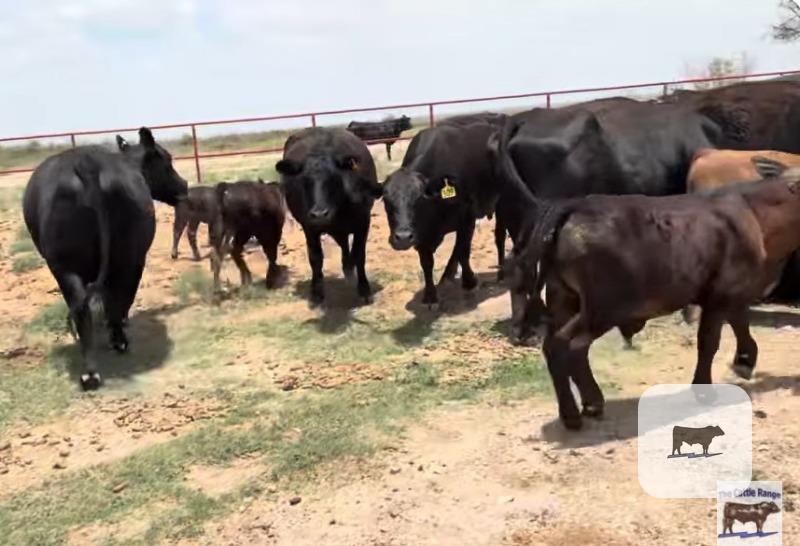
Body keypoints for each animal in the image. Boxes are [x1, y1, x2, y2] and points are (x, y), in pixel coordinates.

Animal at [22, 128, 188, 390]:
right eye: (167, 159)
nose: (185, 186)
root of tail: (86, 164)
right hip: (127, 258)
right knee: (118, 297)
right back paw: (117, 343)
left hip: (64, 266)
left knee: (82, 305)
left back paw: (90, 372)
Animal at [276, 127, 382, 305]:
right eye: (303, 180)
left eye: (334, 178)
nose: (319, 214)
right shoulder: (309, 227)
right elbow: (315, 258)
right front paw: (316, 291)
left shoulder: (363, 222)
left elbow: (359, 254)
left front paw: (364, 289)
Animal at [382, 113, 506, 306]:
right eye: (386, 200)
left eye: (419, 200)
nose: (402, 238)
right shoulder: (421, 233)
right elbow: (427, 261)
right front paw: (430, 295)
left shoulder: (467, 218)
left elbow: (463, 251)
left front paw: (469, 282)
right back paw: (448, 275)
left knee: (499, 236)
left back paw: (501, 273)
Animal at [501, 153, 800, 429]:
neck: (754, 212)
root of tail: (575, 208)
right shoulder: (719, 295)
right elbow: (709, 342)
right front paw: (704, 389)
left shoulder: (732, 291)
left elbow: (740, 324)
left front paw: (745, 362)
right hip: (602, 308)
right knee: (568, 346)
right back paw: (582, 409)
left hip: (564, 298)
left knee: (555, 345)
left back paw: (580, 407)